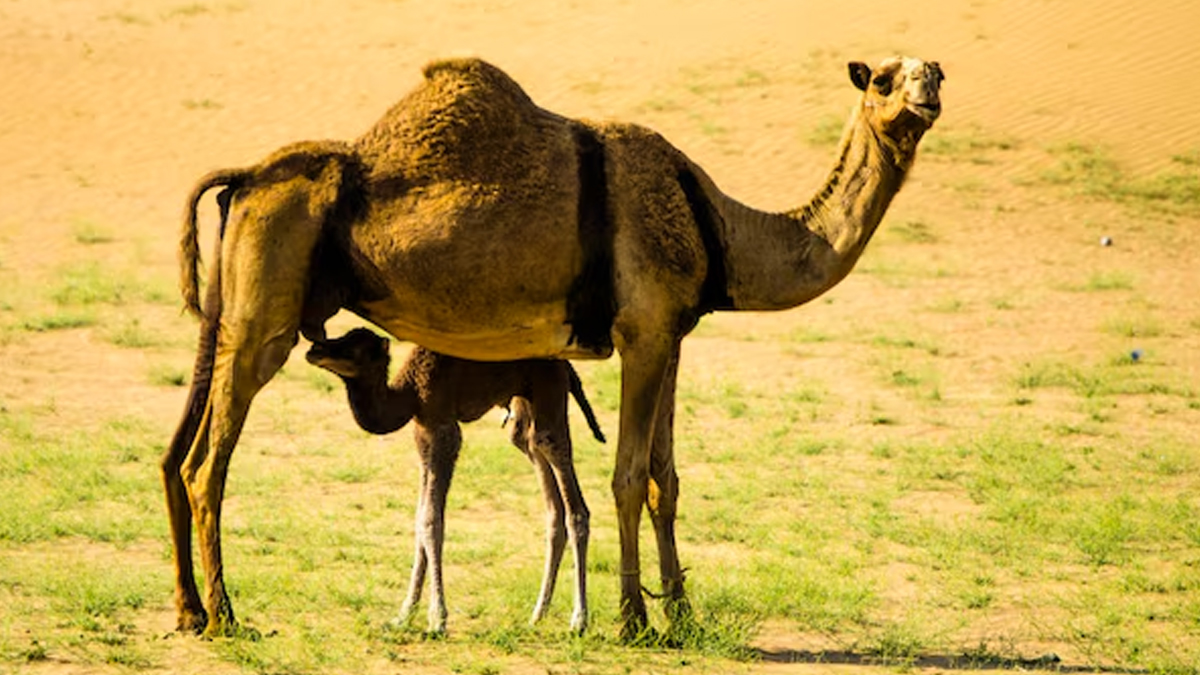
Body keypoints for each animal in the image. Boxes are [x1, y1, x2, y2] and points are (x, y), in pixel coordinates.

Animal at [304, 327, 605, 634]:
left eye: (355, 348)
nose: (315, 349)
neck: (410, 393)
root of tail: (565, 364)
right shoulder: (423, 432)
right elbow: (420, 519)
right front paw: (404, 615)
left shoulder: (444, 429)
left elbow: (431, 520)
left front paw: (437, 618)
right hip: (526, 409)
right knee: (544, 484)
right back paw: (537, 616)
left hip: (549, 391)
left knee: (573, 501)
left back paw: (578, 620)